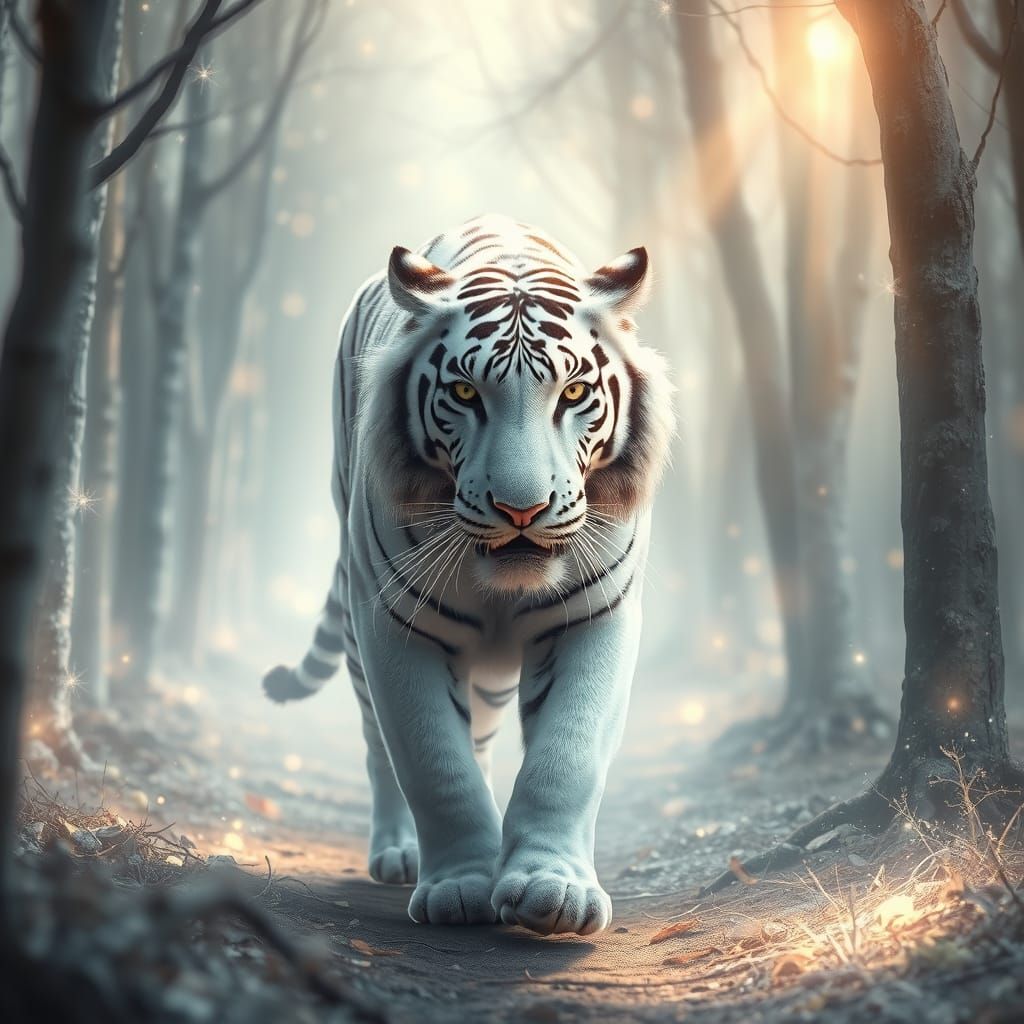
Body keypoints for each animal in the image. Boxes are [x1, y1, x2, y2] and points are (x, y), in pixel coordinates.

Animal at [263, 214, 674, 936]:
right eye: (464, 392)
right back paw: (400, 851)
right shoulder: (392, 622)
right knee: (378, 743)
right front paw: (458, 889)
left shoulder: (596, 615)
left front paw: (551, 888)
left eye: (573, 393)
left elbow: (565, 756)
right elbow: (432, 761)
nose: (522, 509)